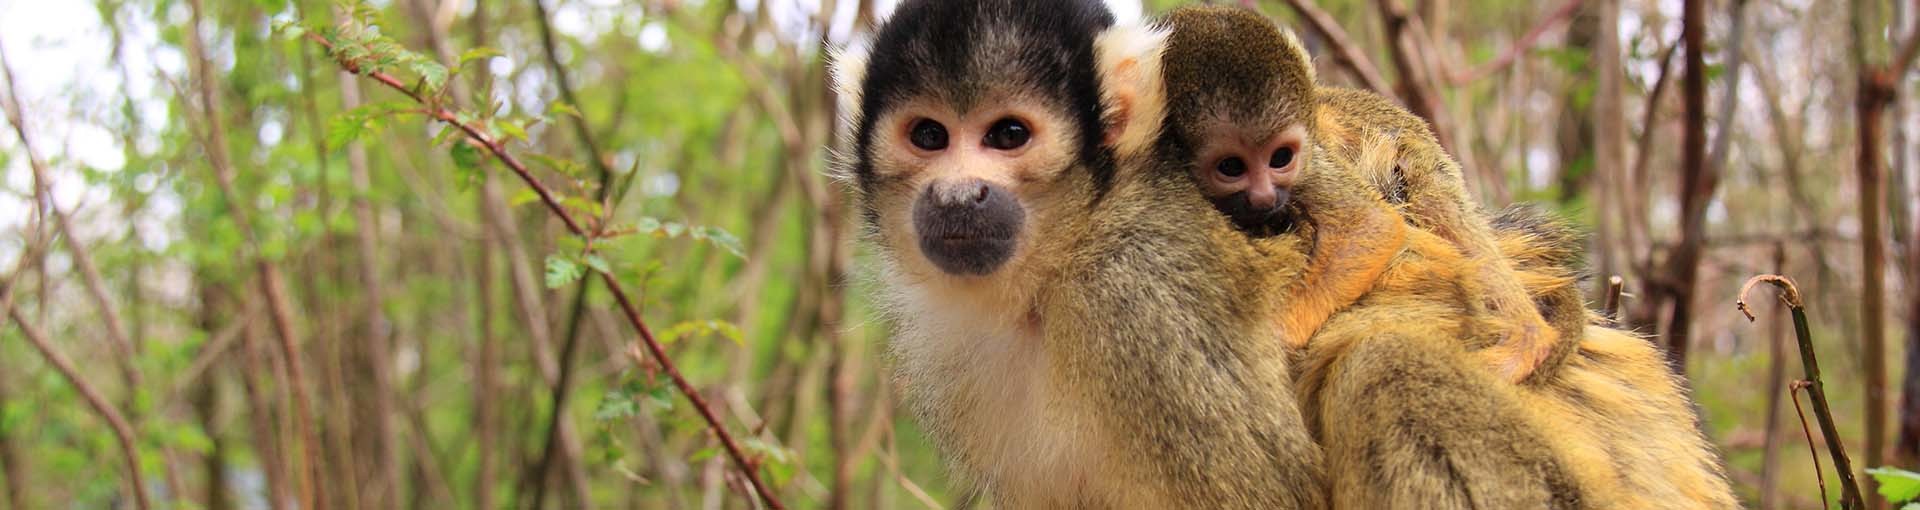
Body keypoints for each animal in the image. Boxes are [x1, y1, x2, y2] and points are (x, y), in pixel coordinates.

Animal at [1144, 6, 1566, 383]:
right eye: (1232, 167)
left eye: (1280, 158)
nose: (1265, 198)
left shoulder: (1310, 161)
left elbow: (1370, 224)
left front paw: (1278, 336)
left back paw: (1530, 333)